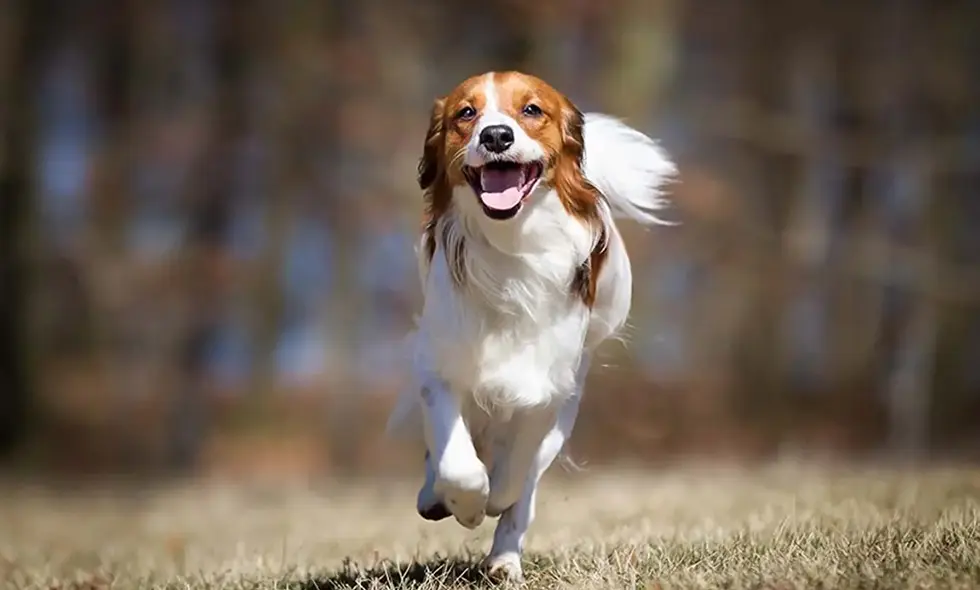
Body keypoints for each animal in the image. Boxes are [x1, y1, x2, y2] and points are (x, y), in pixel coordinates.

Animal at [382, 70, 672, 584]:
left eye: (532, 110)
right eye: (466, 113)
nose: (496, 136)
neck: (510, 244)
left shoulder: (547, 390)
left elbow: (515, 477)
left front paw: (494, 503)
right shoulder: (439, 368)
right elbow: (457, 463)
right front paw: (464, 503)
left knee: (525, 489)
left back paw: (503, 560)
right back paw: (436, 499)